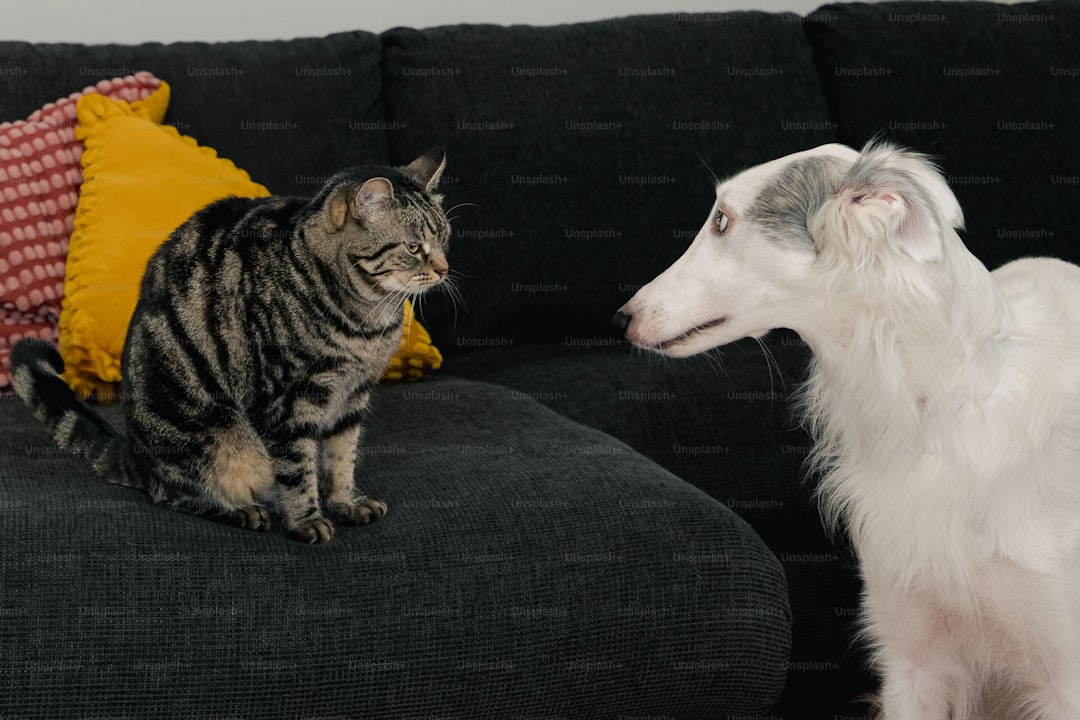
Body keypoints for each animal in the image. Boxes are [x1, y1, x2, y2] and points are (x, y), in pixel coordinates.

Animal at [9, 147, 447, 539]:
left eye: (445, 237)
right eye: (413, 247)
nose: (444, 269)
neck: (366, 322)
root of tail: (135, 454)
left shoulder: (353, 396)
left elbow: (341, 459)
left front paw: (344, 503)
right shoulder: (287, 401)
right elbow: (297, 468)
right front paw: (305, 521)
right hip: (215, 436)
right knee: (174, 495)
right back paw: (242, 511)